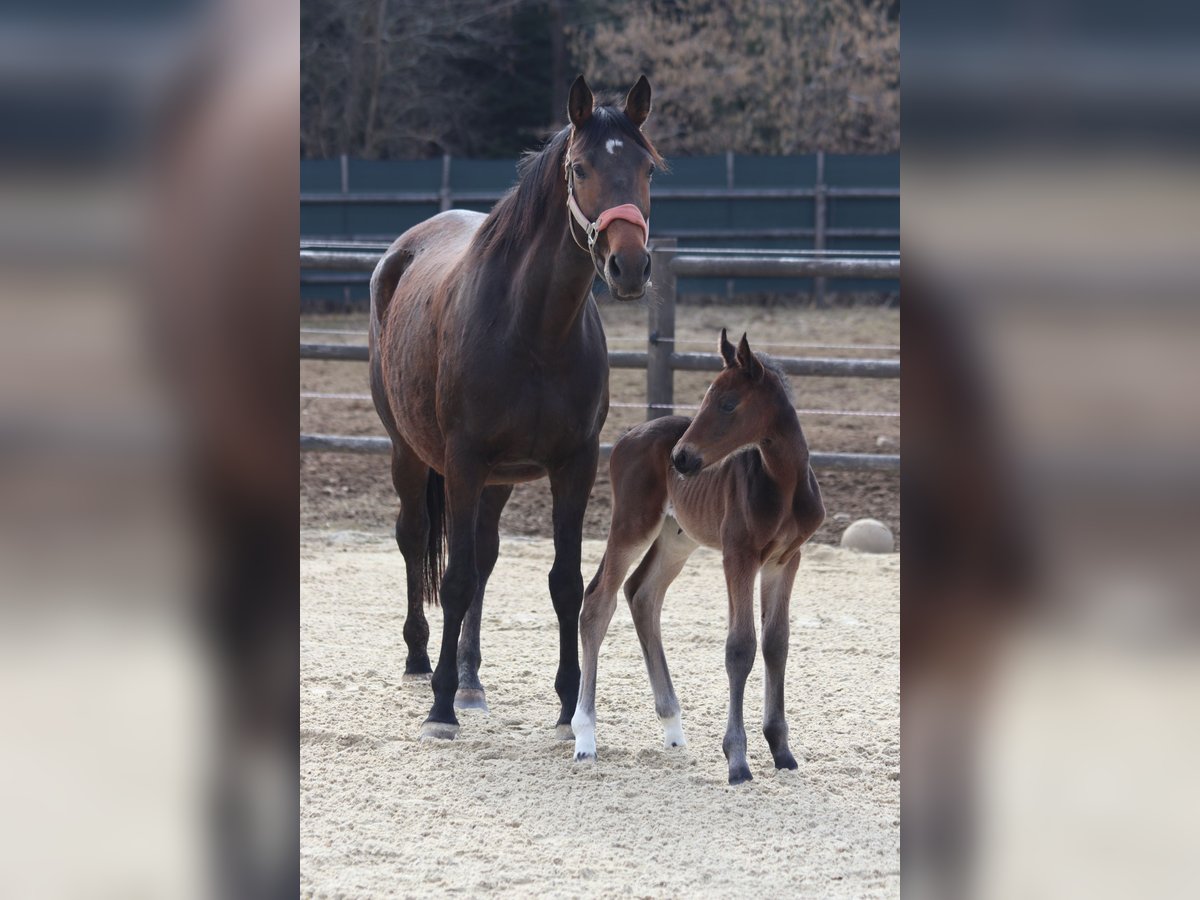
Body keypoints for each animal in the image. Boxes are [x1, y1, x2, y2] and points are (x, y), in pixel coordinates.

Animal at [367, 75, 662, 739]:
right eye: (579, 168)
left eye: (647, 169)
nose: (629, 265)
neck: (533, 330)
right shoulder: (464, 460)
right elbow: (452, 580)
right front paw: (441, 709)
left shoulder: (574, 464)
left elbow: (565, 583)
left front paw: (570, 702)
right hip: (409, 454)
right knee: (415, 537)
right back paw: (422, 659)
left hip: (497, 480)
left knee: (484, 555)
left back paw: (472, 678)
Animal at [571, 328, 825, 782]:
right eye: (707, 398)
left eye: (727, 403)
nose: (681, 457)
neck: (783, 484)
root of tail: (627, 435)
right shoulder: (739, 556)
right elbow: (740, 647)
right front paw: (737, 760)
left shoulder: (785, 560)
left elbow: (776, 643)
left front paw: (782, 751)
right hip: (633, 524)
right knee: (599, 601)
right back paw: (585, 738)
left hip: (676, 539)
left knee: (642, 595)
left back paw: (672, 727)